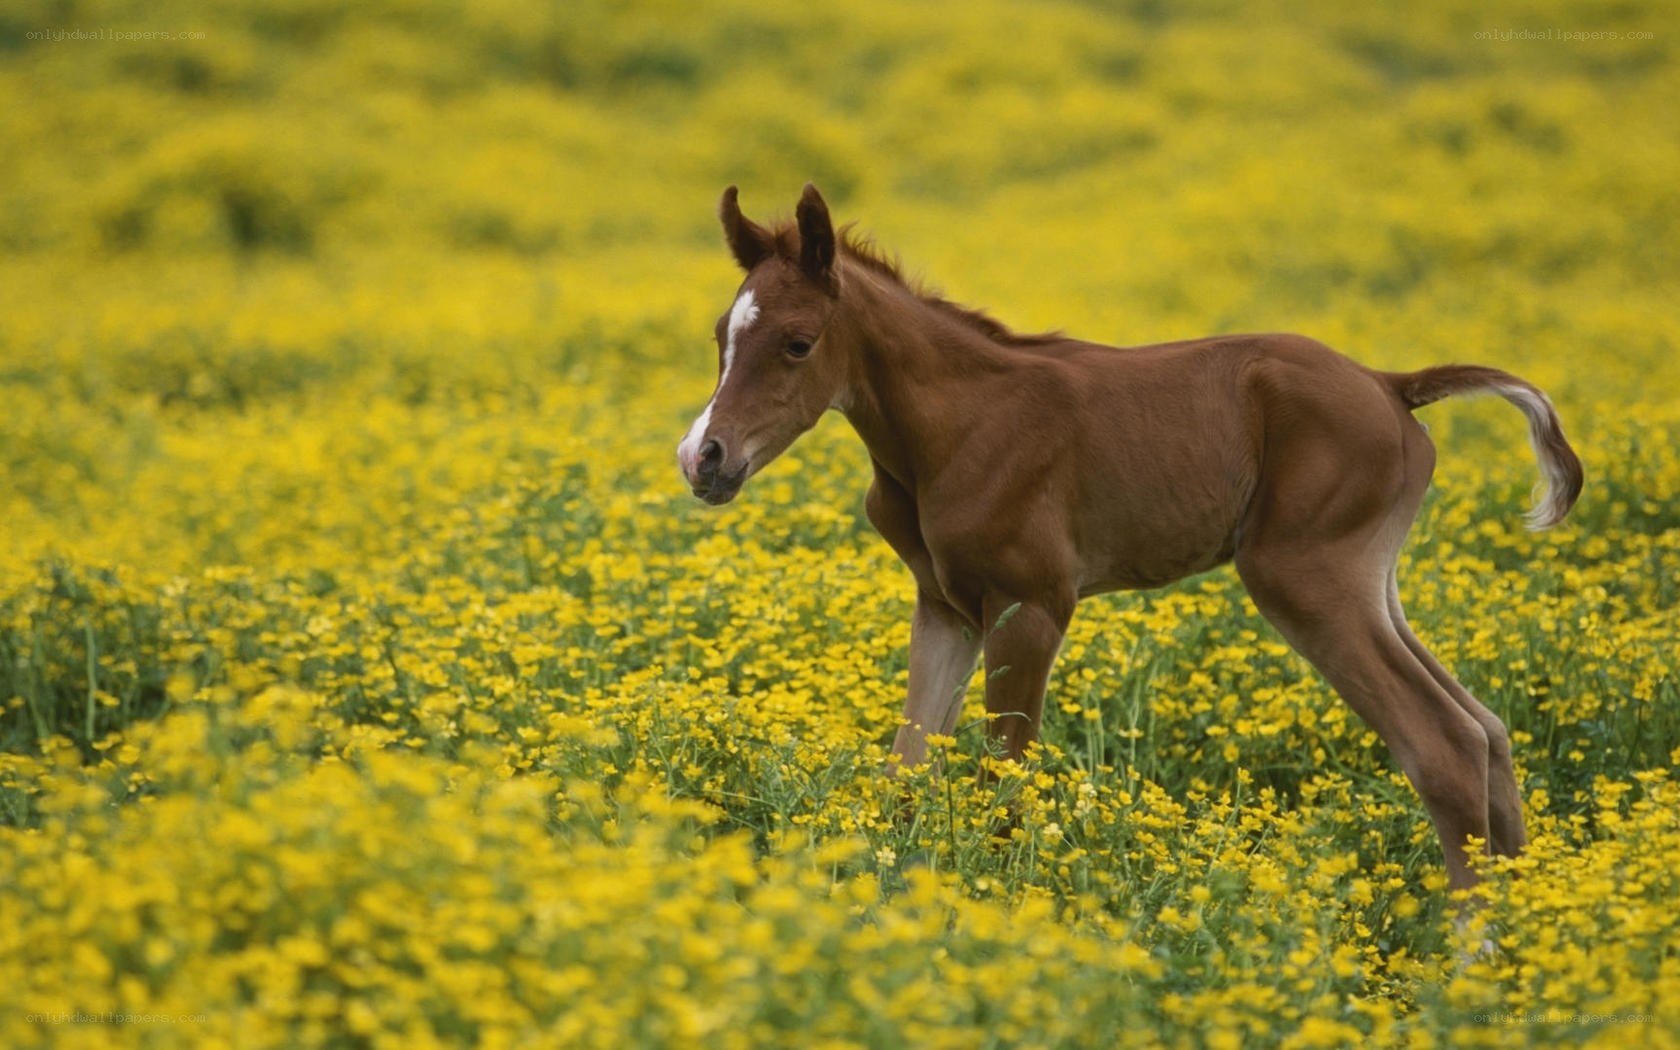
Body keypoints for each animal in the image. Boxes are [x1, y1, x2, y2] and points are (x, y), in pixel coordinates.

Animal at [676, 183, 1583, 892]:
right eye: (721, 336)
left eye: (798, 343)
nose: (703, 457)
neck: (954, 425)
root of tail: (1392, 386)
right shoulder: (946, 608)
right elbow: (907, 766)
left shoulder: (1033, 606)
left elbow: (1004, 780)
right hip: (1371, 584)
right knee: (1488, 730)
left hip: (1305, 578)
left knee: (1443, 743)